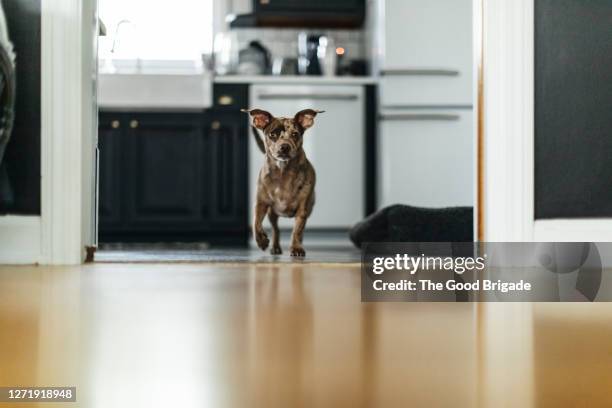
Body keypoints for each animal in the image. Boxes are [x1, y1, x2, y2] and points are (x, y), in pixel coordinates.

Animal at [243, 107, 326, 256]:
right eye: (272, 134)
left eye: (295, 134)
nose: (285, 146)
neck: (283, 172)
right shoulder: (260, 204)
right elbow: (255, 222)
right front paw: (261, 241)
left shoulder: (302, 210)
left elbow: (297, 231)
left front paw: (296, 248)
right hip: (272, 214)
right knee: (276, 229)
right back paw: (275, 246)